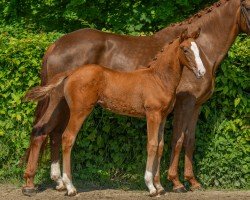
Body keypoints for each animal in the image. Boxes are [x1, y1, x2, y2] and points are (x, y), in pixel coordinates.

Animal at [24, 28, 205, 196]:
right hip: (79, 111)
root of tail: (71, 73)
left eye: (198, 50)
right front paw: (151, 186)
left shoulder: (163, 116)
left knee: (55, 134)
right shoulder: (152, 115)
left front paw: (159, 186)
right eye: (185, 49)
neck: (158, 78)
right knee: (67, 137)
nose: (201, 72)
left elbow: (160, 146)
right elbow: (152, 145)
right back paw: (69, 186)